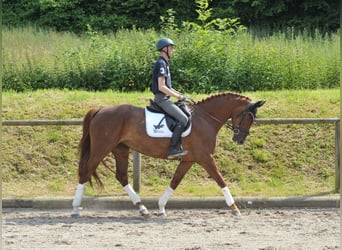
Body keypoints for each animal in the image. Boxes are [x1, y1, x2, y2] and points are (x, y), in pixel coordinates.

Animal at [71, 92, 264, 217]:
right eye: (249, 117)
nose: (240, 139)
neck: (206, 118)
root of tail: (100, 109)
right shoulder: (205, 157)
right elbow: (220, 179)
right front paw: (234, 208)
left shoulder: (189, 159)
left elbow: (175, 181)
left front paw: (161, 207)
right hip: (101, 148)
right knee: (86, 171)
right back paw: (74, 208)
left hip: (121, 149)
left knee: (122, 176)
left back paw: (142, 208)